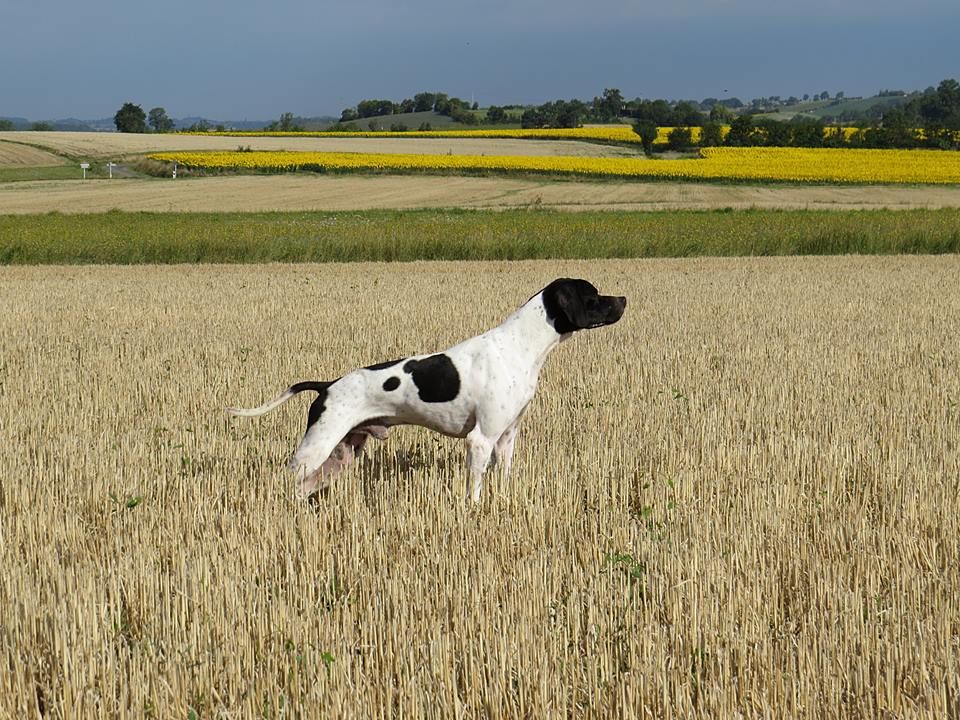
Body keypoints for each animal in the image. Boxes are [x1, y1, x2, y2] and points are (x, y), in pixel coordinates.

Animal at [228, 278, 628, 504]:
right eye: (593, 295)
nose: (624, 299)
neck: (522, 344)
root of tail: (327, 385)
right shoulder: (481, 440)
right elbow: (474, 489)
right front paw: (474, 511)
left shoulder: (506, 437)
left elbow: (504, 476)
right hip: (317, 446)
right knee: (289, 479)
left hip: (342, 454)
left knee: (305, 487)